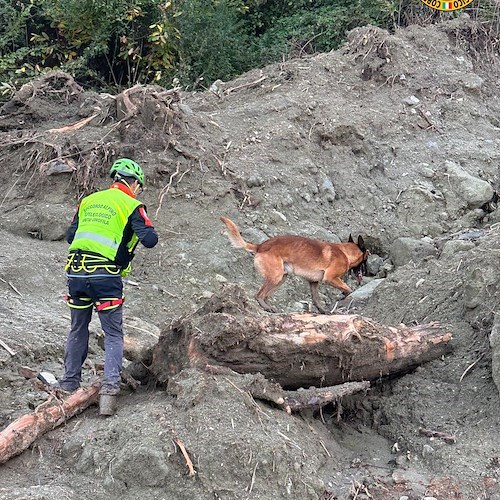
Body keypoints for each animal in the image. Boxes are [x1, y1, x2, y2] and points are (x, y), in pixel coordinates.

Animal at [221, 218, 370, 314]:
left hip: (281, 278)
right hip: (276, 277)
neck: (345, 252)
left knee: (266, 295)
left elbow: (316, 299)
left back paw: (271, 308)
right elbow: (348, 289)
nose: (368, 272)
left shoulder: (314, 282)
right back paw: (266, 307)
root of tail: (260, 246)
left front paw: (323, 311)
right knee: (259, 294)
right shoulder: (330, 278)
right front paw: (345, 296)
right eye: (366, 259)